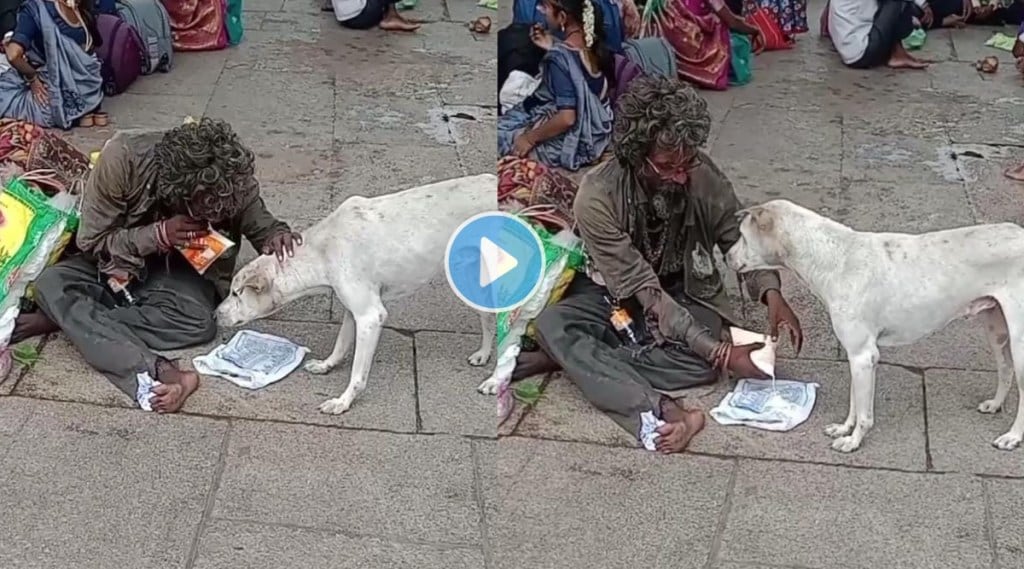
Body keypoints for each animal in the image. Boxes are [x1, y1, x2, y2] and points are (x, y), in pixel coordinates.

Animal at [218, 176, 497, 415]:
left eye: (235, 293)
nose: (214, 314)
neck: (322, 250)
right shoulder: (353, 311)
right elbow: (341, 344)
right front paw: (327, 365)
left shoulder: (370, 316)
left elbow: (357, 374)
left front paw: (343, 402)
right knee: (489, 318)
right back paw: (483, 355)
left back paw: (494, 381)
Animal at [724, 199, 1024, 454]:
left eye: (742, 235)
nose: (725, 257)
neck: (835, 258)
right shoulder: (858, 358)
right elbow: (855, 403)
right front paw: (844, 429)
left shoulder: (863, 355)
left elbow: (865, 414)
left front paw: (853, 441)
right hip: (996, 330)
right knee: (1005, 370)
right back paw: (995, 405)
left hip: (1019, 343)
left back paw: (1012, 436)